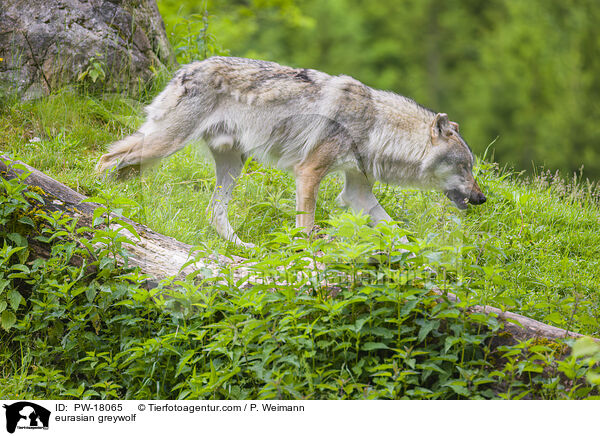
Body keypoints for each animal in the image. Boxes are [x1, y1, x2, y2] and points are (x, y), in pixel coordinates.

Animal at [96, 57, 486, 247]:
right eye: (464, 167)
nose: (483, 198)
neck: (376, 125)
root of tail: (185, 67)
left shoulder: (357, 192)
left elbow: (396, 232)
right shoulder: (309, 173)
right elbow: (306, 225)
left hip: (232, 165)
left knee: (213, 212)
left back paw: (245, 249)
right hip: (165, 144)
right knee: (105, 159)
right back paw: (96, 200)